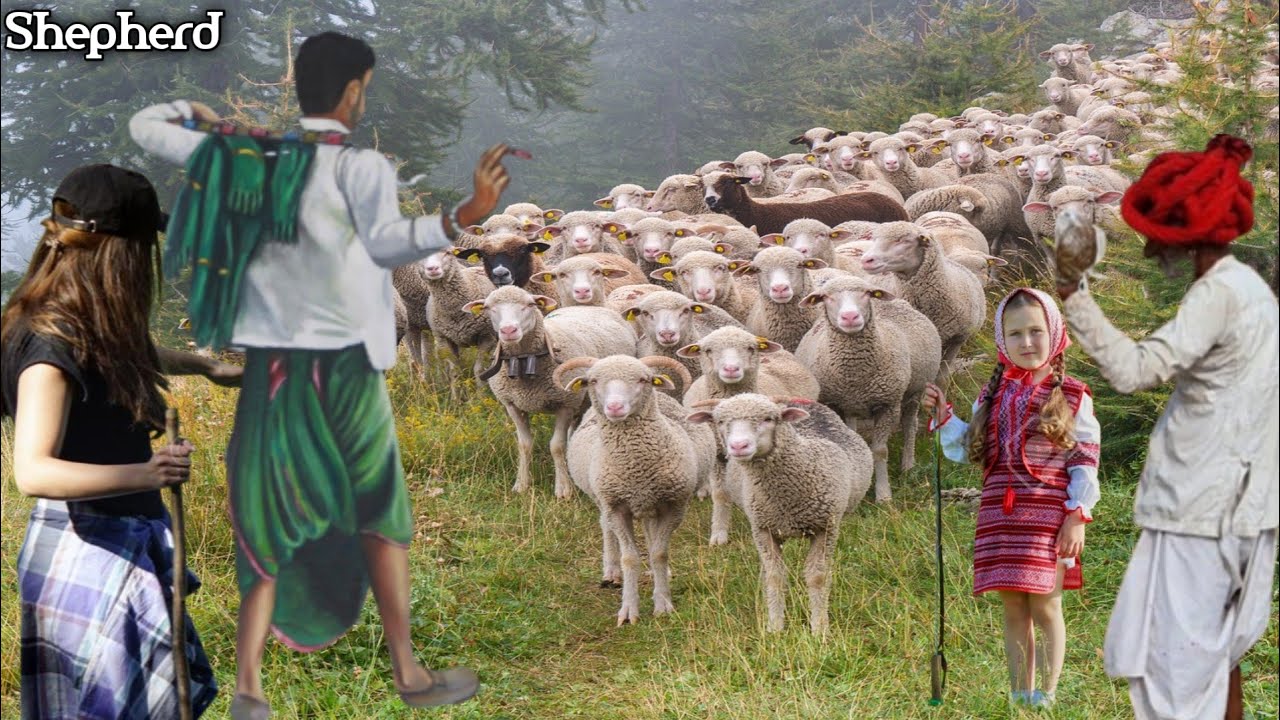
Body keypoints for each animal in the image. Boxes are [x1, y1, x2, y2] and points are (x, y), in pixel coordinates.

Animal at [462, 286, 638, 498]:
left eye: (530, 304)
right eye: (488, 308)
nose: (508, 330)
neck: (524, 360)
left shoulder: (565, 403)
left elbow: (556, 446)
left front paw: (563, 489)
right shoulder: (512, 405)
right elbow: (524, 445)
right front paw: (521, 484)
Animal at [559, 355, 712, 624]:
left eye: (643, 379)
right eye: (593, 381)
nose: (615, 408)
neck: (636, 470)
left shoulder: (673, 506)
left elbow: (659, 553)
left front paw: (663, 603)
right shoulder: (615, 507)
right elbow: (629, 557)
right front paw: (629, 610)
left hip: (650, 505)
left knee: (650, 536)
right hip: (603, 499)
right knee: (606, 528)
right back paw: (611, 572)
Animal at [686, 394, 872, 634]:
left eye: (769, 419)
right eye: (720, 421)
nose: (738, 445)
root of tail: (799, 402)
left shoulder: (826, 528)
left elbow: (817, 577)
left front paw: (819, 627)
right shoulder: (763, 529)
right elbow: (775, 577)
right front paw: (775, 626)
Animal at [794, 276, 940, 502]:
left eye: (867, 294)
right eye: (826, 297)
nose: (850, 316)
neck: (856, 376)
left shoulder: (887, 404)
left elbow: (880, 451)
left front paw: (883, 495)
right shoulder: (835, 404)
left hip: (915, 390)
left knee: (909, 424)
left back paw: (908, 465)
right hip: (851, 406)